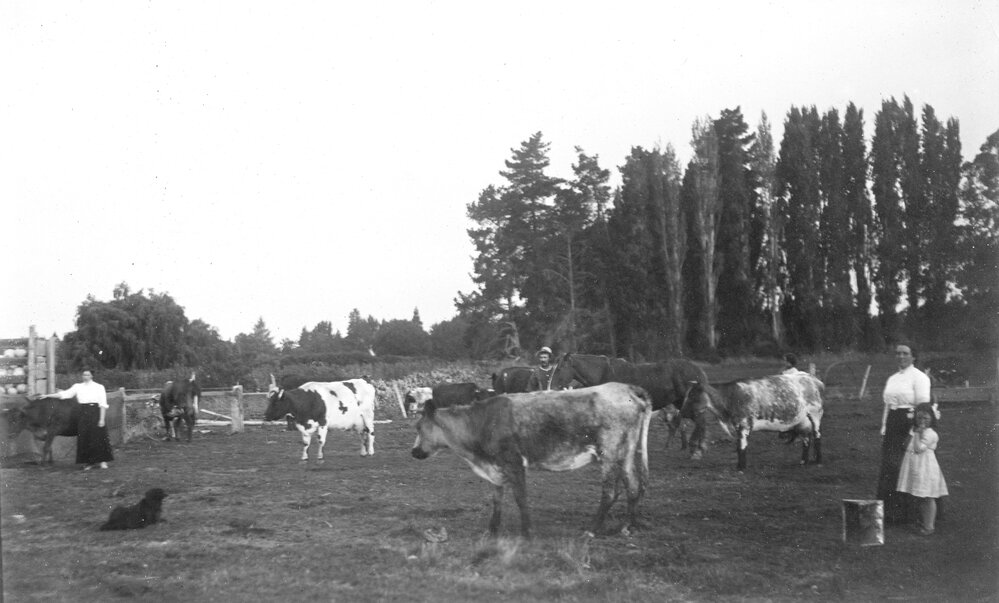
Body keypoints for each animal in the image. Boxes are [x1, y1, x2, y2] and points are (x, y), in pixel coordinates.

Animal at [411, 382, 653, 539]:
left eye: (419, 427)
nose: (414, 451)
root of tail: (627, 388)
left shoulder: (514, 463)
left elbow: (521, 498)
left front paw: (527, 531)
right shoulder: (496, 468)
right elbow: (497, 499)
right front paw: (492, 530)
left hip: (609, 451)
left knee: (610, 492)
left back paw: (591, 530)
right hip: (626, 451)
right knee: (633, 485)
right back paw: (627, 527)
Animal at [680, 372, 824, 470]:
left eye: (692, 396)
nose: (681, 412)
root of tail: (811, 378)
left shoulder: (743, 425)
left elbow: (742, 447)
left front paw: (741, 468)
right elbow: (739, 446)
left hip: (815, 415)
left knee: (817, 437)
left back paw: (818, 461)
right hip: (801, 421)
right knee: (806, 440)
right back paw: (803, 462)